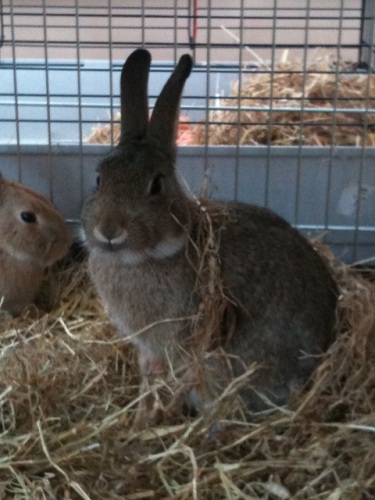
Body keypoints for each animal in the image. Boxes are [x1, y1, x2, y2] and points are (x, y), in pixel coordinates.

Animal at [81, 48, 338, 420]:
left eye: (156, 185)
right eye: (99, 178)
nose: (109, 230)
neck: (145, 258)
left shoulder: (182, 340)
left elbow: (177, 377)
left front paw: (156, 414)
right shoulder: (149, 347)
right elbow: (149, 373)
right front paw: (143, 413)